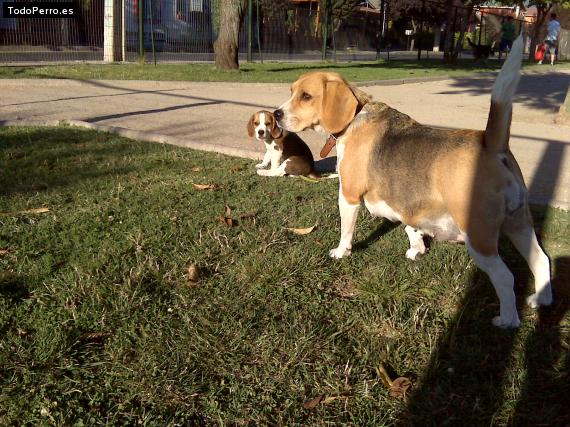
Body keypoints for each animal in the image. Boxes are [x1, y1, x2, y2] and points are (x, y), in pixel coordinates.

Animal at [272, 37, 552, 332]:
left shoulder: (348, 195)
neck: (356, 116)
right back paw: (541, 299)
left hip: (479, 238)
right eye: (291, 91)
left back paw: (507, 320)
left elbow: (346, 230)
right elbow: (410, 225)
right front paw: (417, 248)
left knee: (505, 277)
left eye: (306, 96)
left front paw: (341, 252)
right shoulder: (406, 202)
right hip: (519, 225)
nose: (276, 114)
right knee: (541, 260)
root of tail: (491, 143)